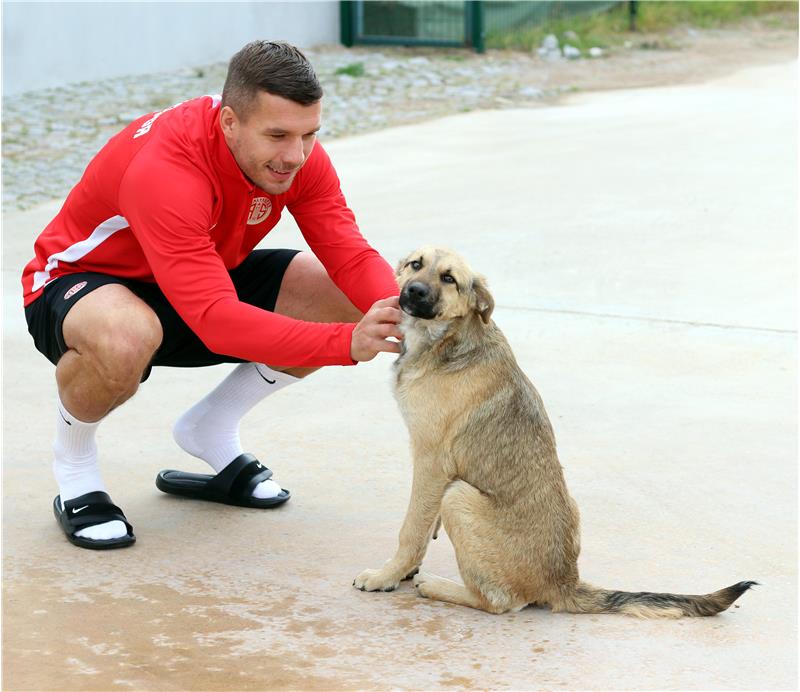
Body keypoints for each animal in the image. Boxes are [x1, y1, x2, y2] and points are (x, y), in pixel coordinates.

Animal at [354, 245, 752, 616]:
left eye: (449, 278)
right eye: (416, 265)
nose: (414, 291)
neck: (447, 339)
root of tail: (564, 582)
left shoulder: (432, 462)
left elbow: (411, 529)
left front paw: (387, 575)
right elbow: (424, 525)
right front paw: (404, 569)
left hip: (459, 496)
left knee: (500, 602)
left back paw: (438, 586)